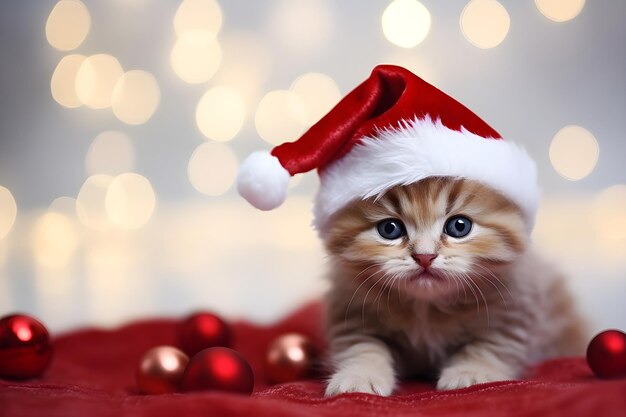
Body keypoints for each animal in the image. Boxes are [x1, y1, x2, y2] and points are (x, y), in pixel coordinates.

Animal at [322, 176, 584, 396]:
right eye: (390, 229)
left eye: (459, 226)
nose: (424, 256)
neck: (426, 307)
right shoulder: (353, 313)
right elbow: (363, 347)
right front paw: (358, 376)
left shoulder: (511, 312)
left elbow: (488, 346)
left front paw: (471, 373)